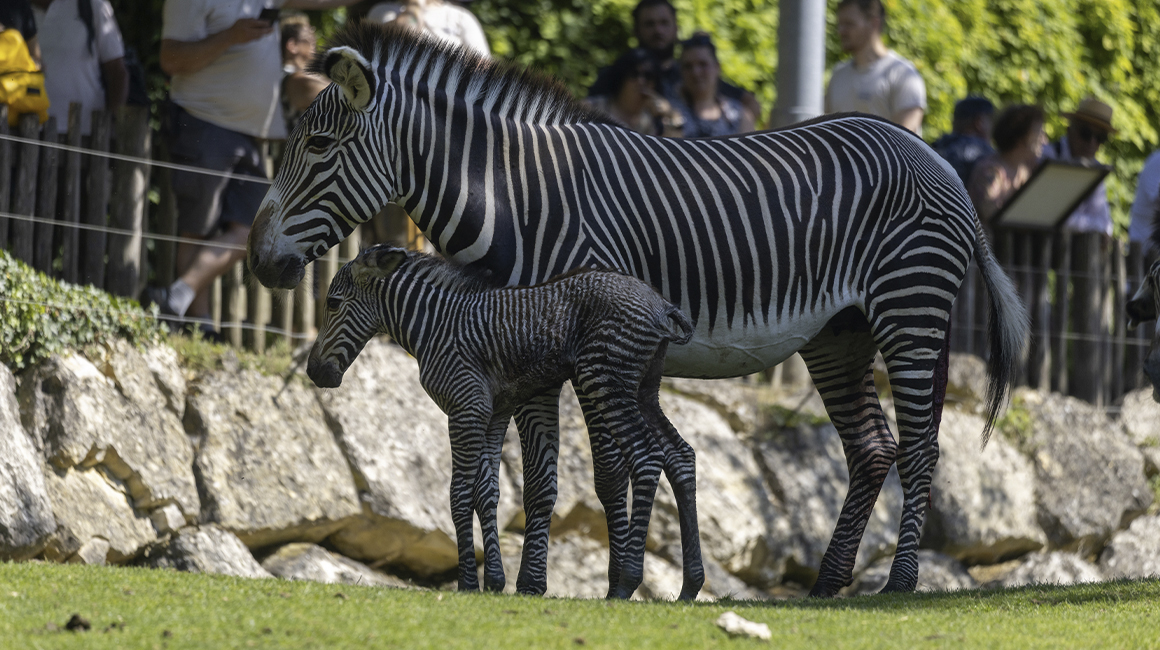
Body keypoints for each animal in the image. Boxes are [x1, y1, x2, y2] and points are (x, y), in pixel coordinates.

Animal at [308, 244, 703, 599]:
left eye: (333, 303)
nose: (314, 372)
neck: (434, 325)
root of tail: (662, 304)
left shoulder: (465, 408)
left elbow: (458, 494)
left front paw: (468, 584)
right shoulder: (493, 412)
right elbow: (487, 492)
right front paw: (495, 582)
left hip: (605, 379)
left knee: (647, 458)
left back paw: (625, 585)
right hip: (644, 390)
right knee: (681, 455)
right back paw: (690, 587)